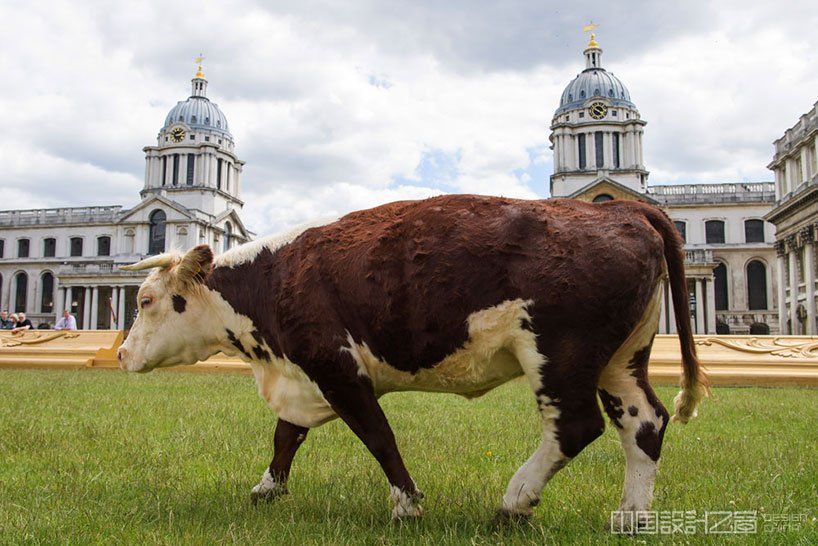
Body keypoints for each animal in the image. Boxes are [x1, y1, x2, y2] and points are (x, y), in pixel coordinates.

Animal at [118, 193, 704, 524]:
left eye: (144, 300)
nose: (121, 353)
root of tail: (618, 206)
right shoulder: (305, 376)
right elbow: (286, 436)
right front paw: (267, 488)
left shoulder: (336, 368)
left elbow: (378, 436)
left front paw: (407, 503)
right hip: (621, 359)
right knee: (644, 422)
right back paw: (630, 516)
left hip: (560, 354)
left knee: (577, 426)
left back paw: (514, 501)